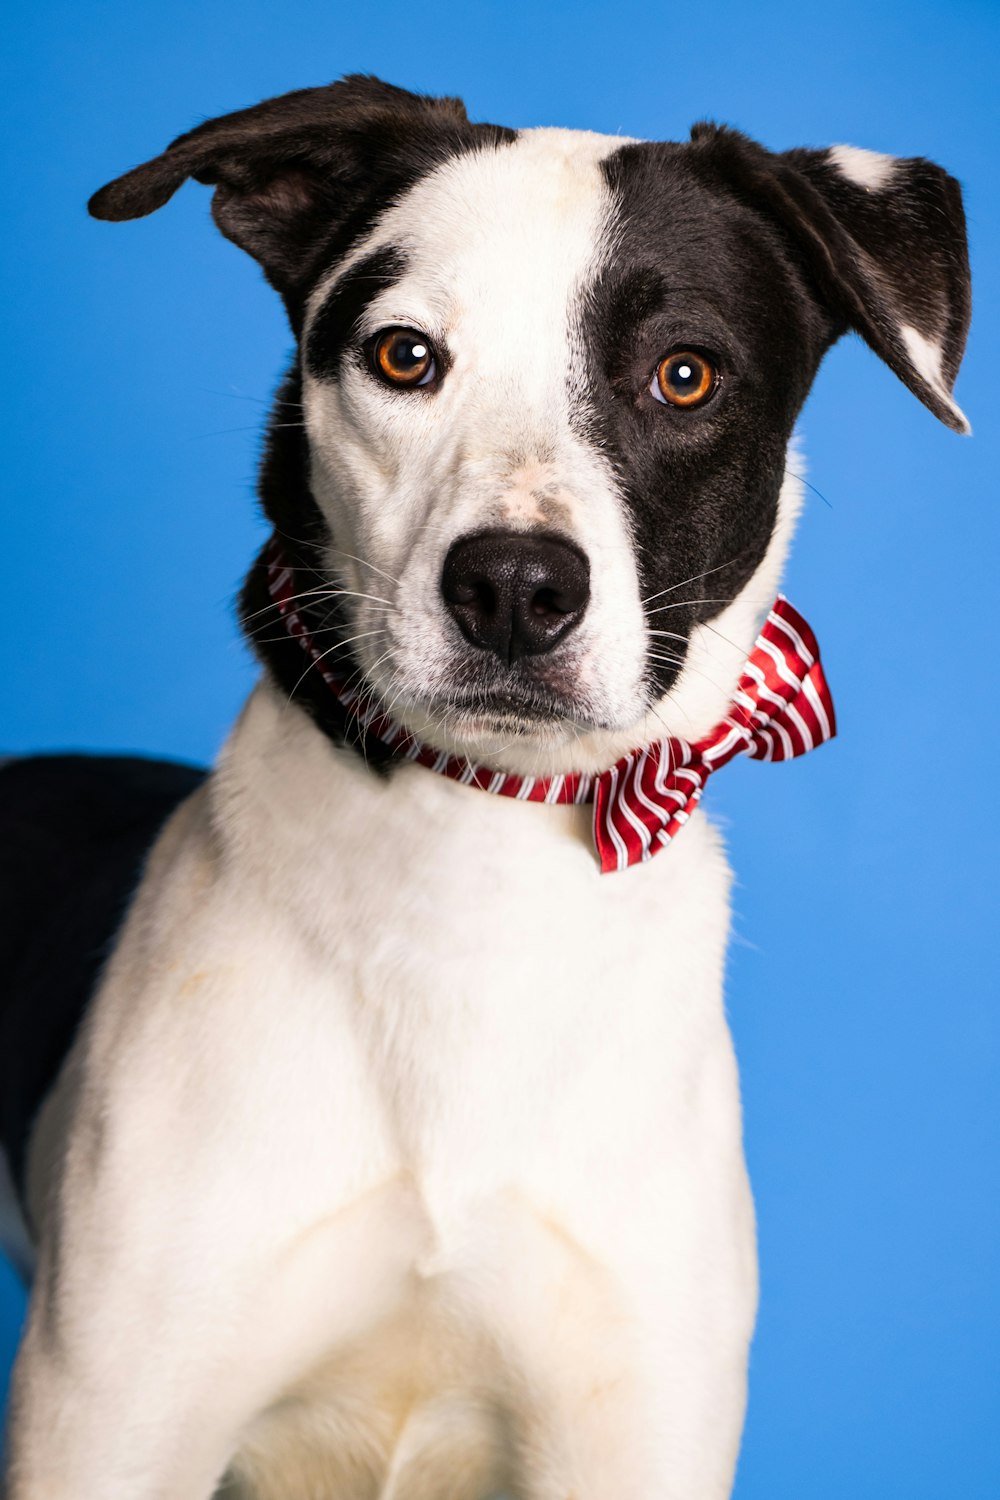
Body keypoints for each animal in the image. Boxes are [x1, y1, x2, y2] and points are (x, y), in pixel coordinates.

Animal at [0, 79, 971, 1500]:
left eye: (685, 374)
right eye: (403, 356)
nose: (514, 586)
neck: (478, 873)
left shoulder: (637, 1435)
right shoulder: (109, 1423)